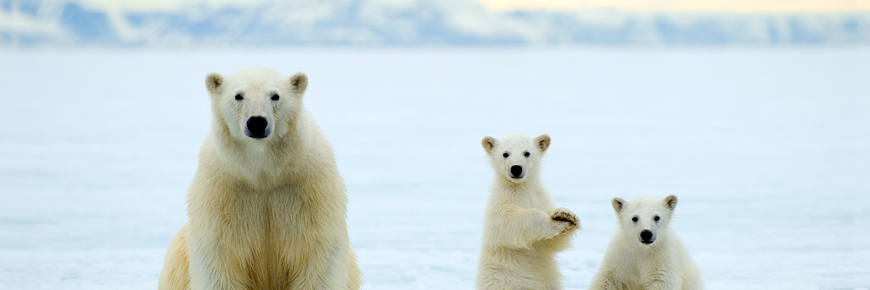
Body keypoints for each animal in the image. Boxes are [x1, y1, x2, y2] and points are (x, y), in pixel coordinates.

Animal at [158, 67, 362, 290]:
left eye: (275, 96)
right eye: (238, 96)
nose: (257, 122)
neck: (263, 175)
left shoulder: (310, 190)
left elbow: (318, 250)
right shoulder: (221, 192)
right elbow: (218, 254)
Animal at [476, 134, 580, 290]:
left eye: (527, 153)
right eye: (505, 154)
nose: (516, 168)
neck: (522, 187)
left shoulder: (540, 196)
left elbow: (552, 243)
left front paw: (565, 215)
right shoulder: (501, 200)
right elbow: (504, 222)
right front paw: (554, 222)